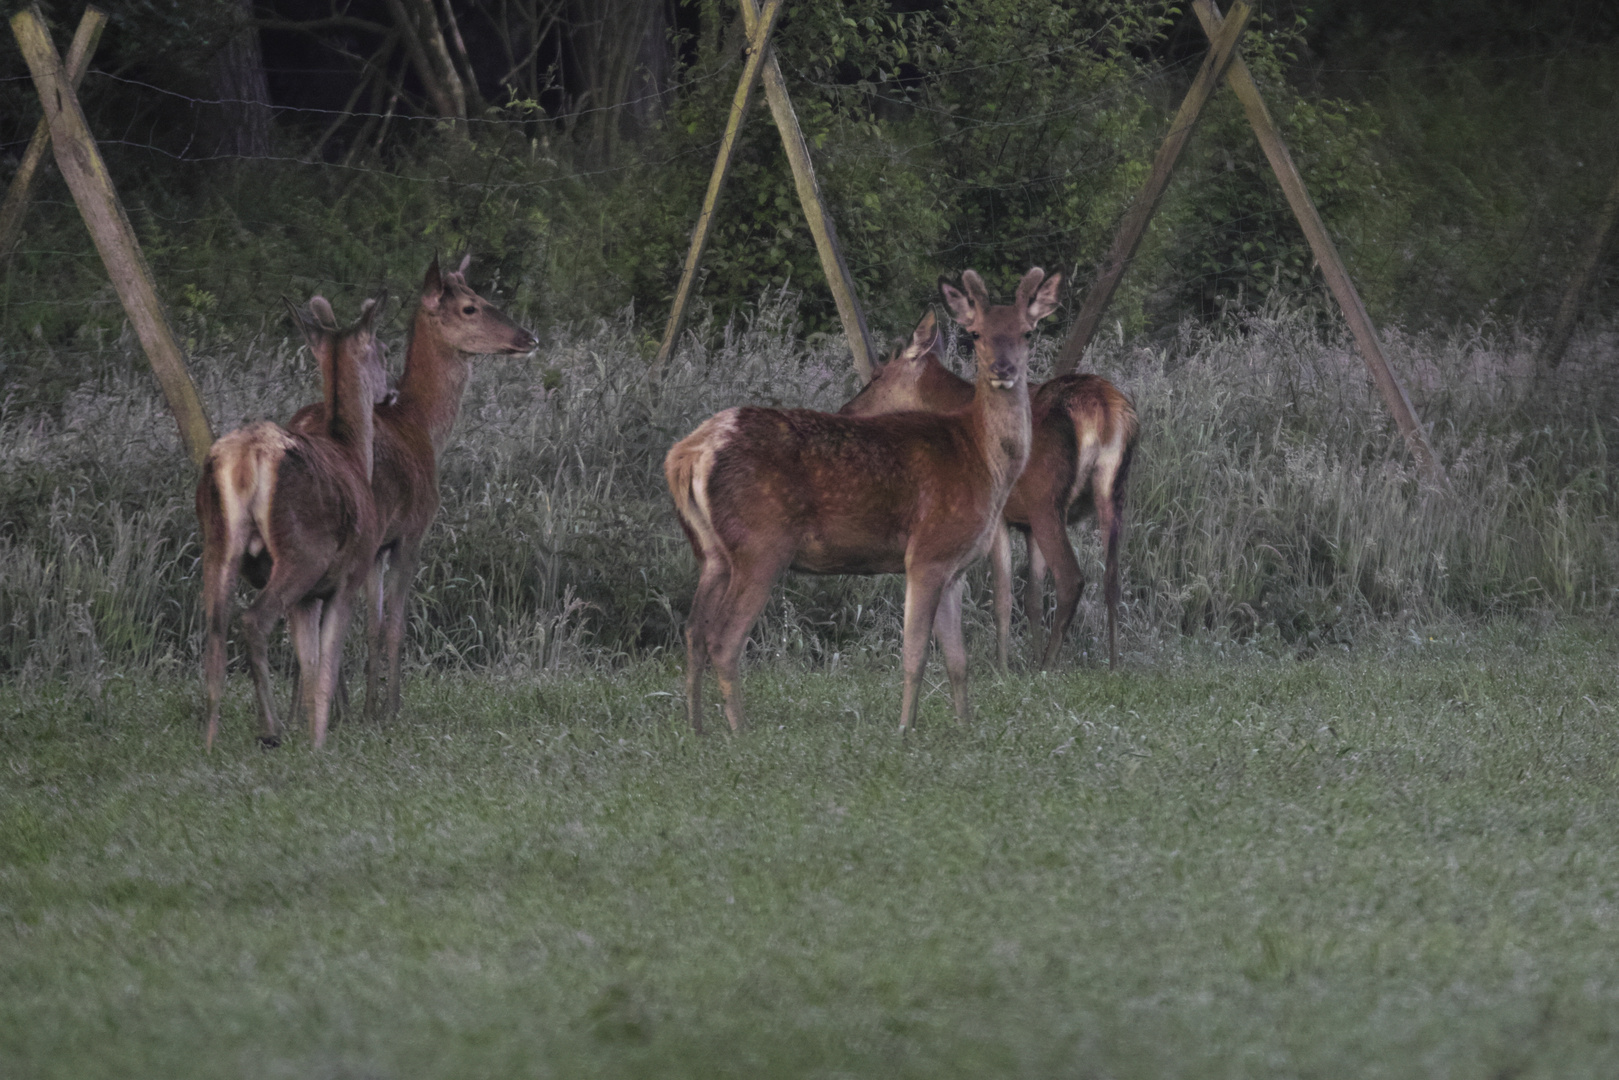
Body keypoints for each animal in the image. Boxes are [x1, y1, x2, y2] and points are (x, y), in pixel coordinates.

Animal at [194, 297, 383, 751]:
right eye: (384, 350)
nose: (390, 392)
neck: (352, 454)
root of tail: (246, 457)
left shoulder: (308, 598)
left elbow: (308, 660)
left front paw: (314, 729)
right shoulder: (348, 576)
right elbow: (326, 661)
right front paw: (318, 740)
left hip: (217, 544)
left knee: (215, 628)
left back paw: (209, 739)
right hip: (302, 551)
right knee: (252, 620)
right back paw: (270, 728)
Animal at [288, 257, 540, 722]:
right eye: (470, 306)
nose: (529, 338)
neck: (421, 425)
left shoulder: (378, 546)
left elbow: (372, 625)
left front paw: (368, 707)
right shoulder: (410, 530)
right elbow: (394, 624)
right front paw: (389, 709)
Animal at [660, 268, 1062, 735]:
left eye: (1027, 332)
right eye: (975, 333)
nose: (1003, 369)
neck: (980, 455)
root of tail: (688, 453)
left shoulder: (955, 566)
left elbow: (958, 660)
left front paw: (964, 727)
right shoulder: (927, 552)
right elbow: (914, 654)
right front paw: (904, 730)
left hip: (711, 552)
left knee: (693, 631)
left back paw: (697, 727)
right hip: (760, 543)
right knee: (723, 638)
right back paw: (740, 731)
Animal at [835, 312, 1139, 670]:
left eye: (878, 375)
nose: (845, 411)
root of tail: (1103, 409)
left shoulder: (998, 514)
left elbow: (1002, 597)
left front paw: (1003, 667)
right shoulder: (1025, 524)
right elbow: (1032, 597)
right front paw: (1025, 660)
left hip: (1046, 499)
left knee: (1071, 577)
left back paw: (1049, 665)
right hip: (1114, 494)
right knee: (1113, 580)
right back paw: (1113, 664)